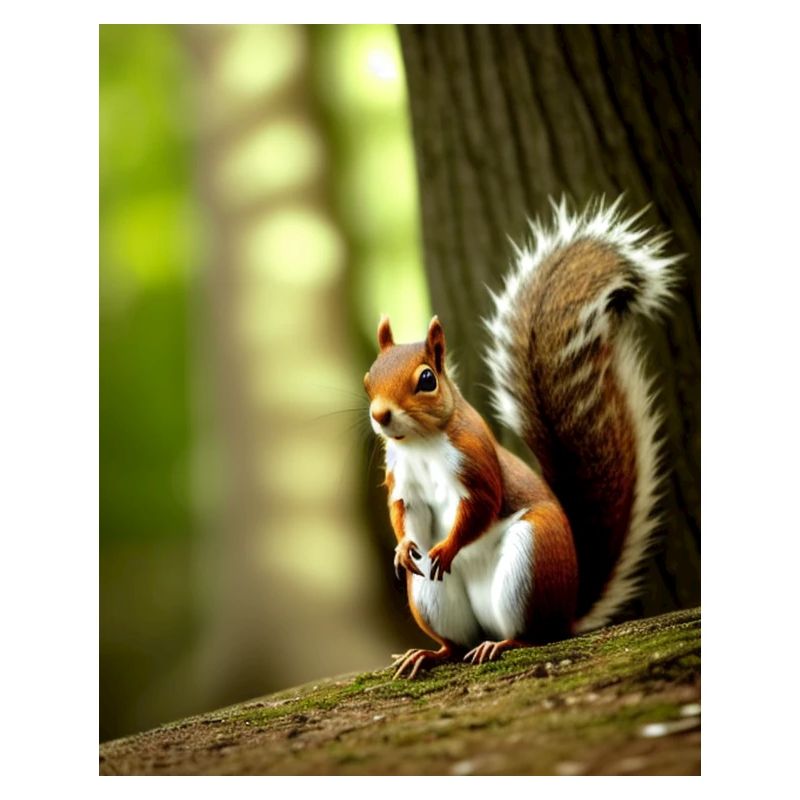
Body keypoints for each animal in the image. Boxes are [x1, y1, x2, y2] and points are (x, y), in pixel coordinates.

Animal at [363, 197, 681, 679]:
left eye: (427, 379)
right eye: (368, 380)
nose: (380, 415)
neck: (420, 444)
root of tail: (568, 612)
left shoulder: (474, 460)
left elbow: (481, 506)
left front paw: (448, 547)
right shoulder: (403, 481)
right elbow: (405, 513)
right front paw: (403, 549)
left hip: (530, 562)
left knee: (533, 635)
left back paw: (503, 643)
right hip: (431, 597)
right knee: (455, 643)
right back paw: (429, 653)